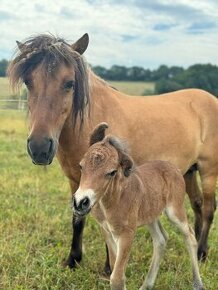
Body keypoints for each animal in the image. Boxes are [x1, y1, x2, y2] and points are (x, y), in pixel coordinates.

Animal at [7, 33, 217, 270]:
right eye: (28, 82)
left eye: (70, 83)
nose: (39, 147)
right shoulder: (76, 181)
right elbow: (77, 218)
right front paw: (73, 259)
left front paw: (110, 267)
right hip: (188, 171)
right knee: (197, 204)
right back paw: (197, 247)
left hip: (208, 171)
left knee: (208, 209)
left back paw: (201, 252)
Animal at [74, 123, 204, 290]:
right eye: (81, 166)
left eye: (112, 172)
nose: (80, 202)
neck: (111, 202)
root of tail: (174, 168)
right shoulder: (107, 231)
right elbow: (116, 269)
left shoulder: (127, 233)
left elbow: (117, 278)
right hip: (151, 215)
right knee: (161, 239)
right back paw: (147, 285)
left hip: (175, 211)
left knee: (190, 236)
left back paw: (197, 283)